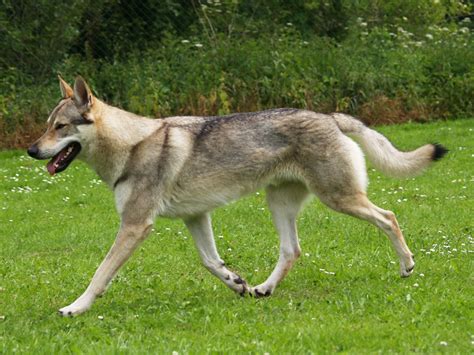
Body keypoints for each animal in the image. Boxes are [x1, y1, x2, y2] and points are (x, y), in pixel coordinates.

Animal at [27, 77, 446, 318]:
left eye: (60, 127)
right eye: (47, 126)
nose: (31, 150)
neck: (130, 145)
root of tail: (330, 117)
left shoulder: (134, 226)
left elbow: (99, 275)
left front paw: (75, 308)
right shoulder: (195, 217)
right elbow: (211, 262)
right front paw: (238, 283)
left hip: (339, 199)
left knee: (389, 216)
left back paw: (407, 266)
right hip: (280, 205)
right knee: (292, 251)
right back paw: (264, 288)